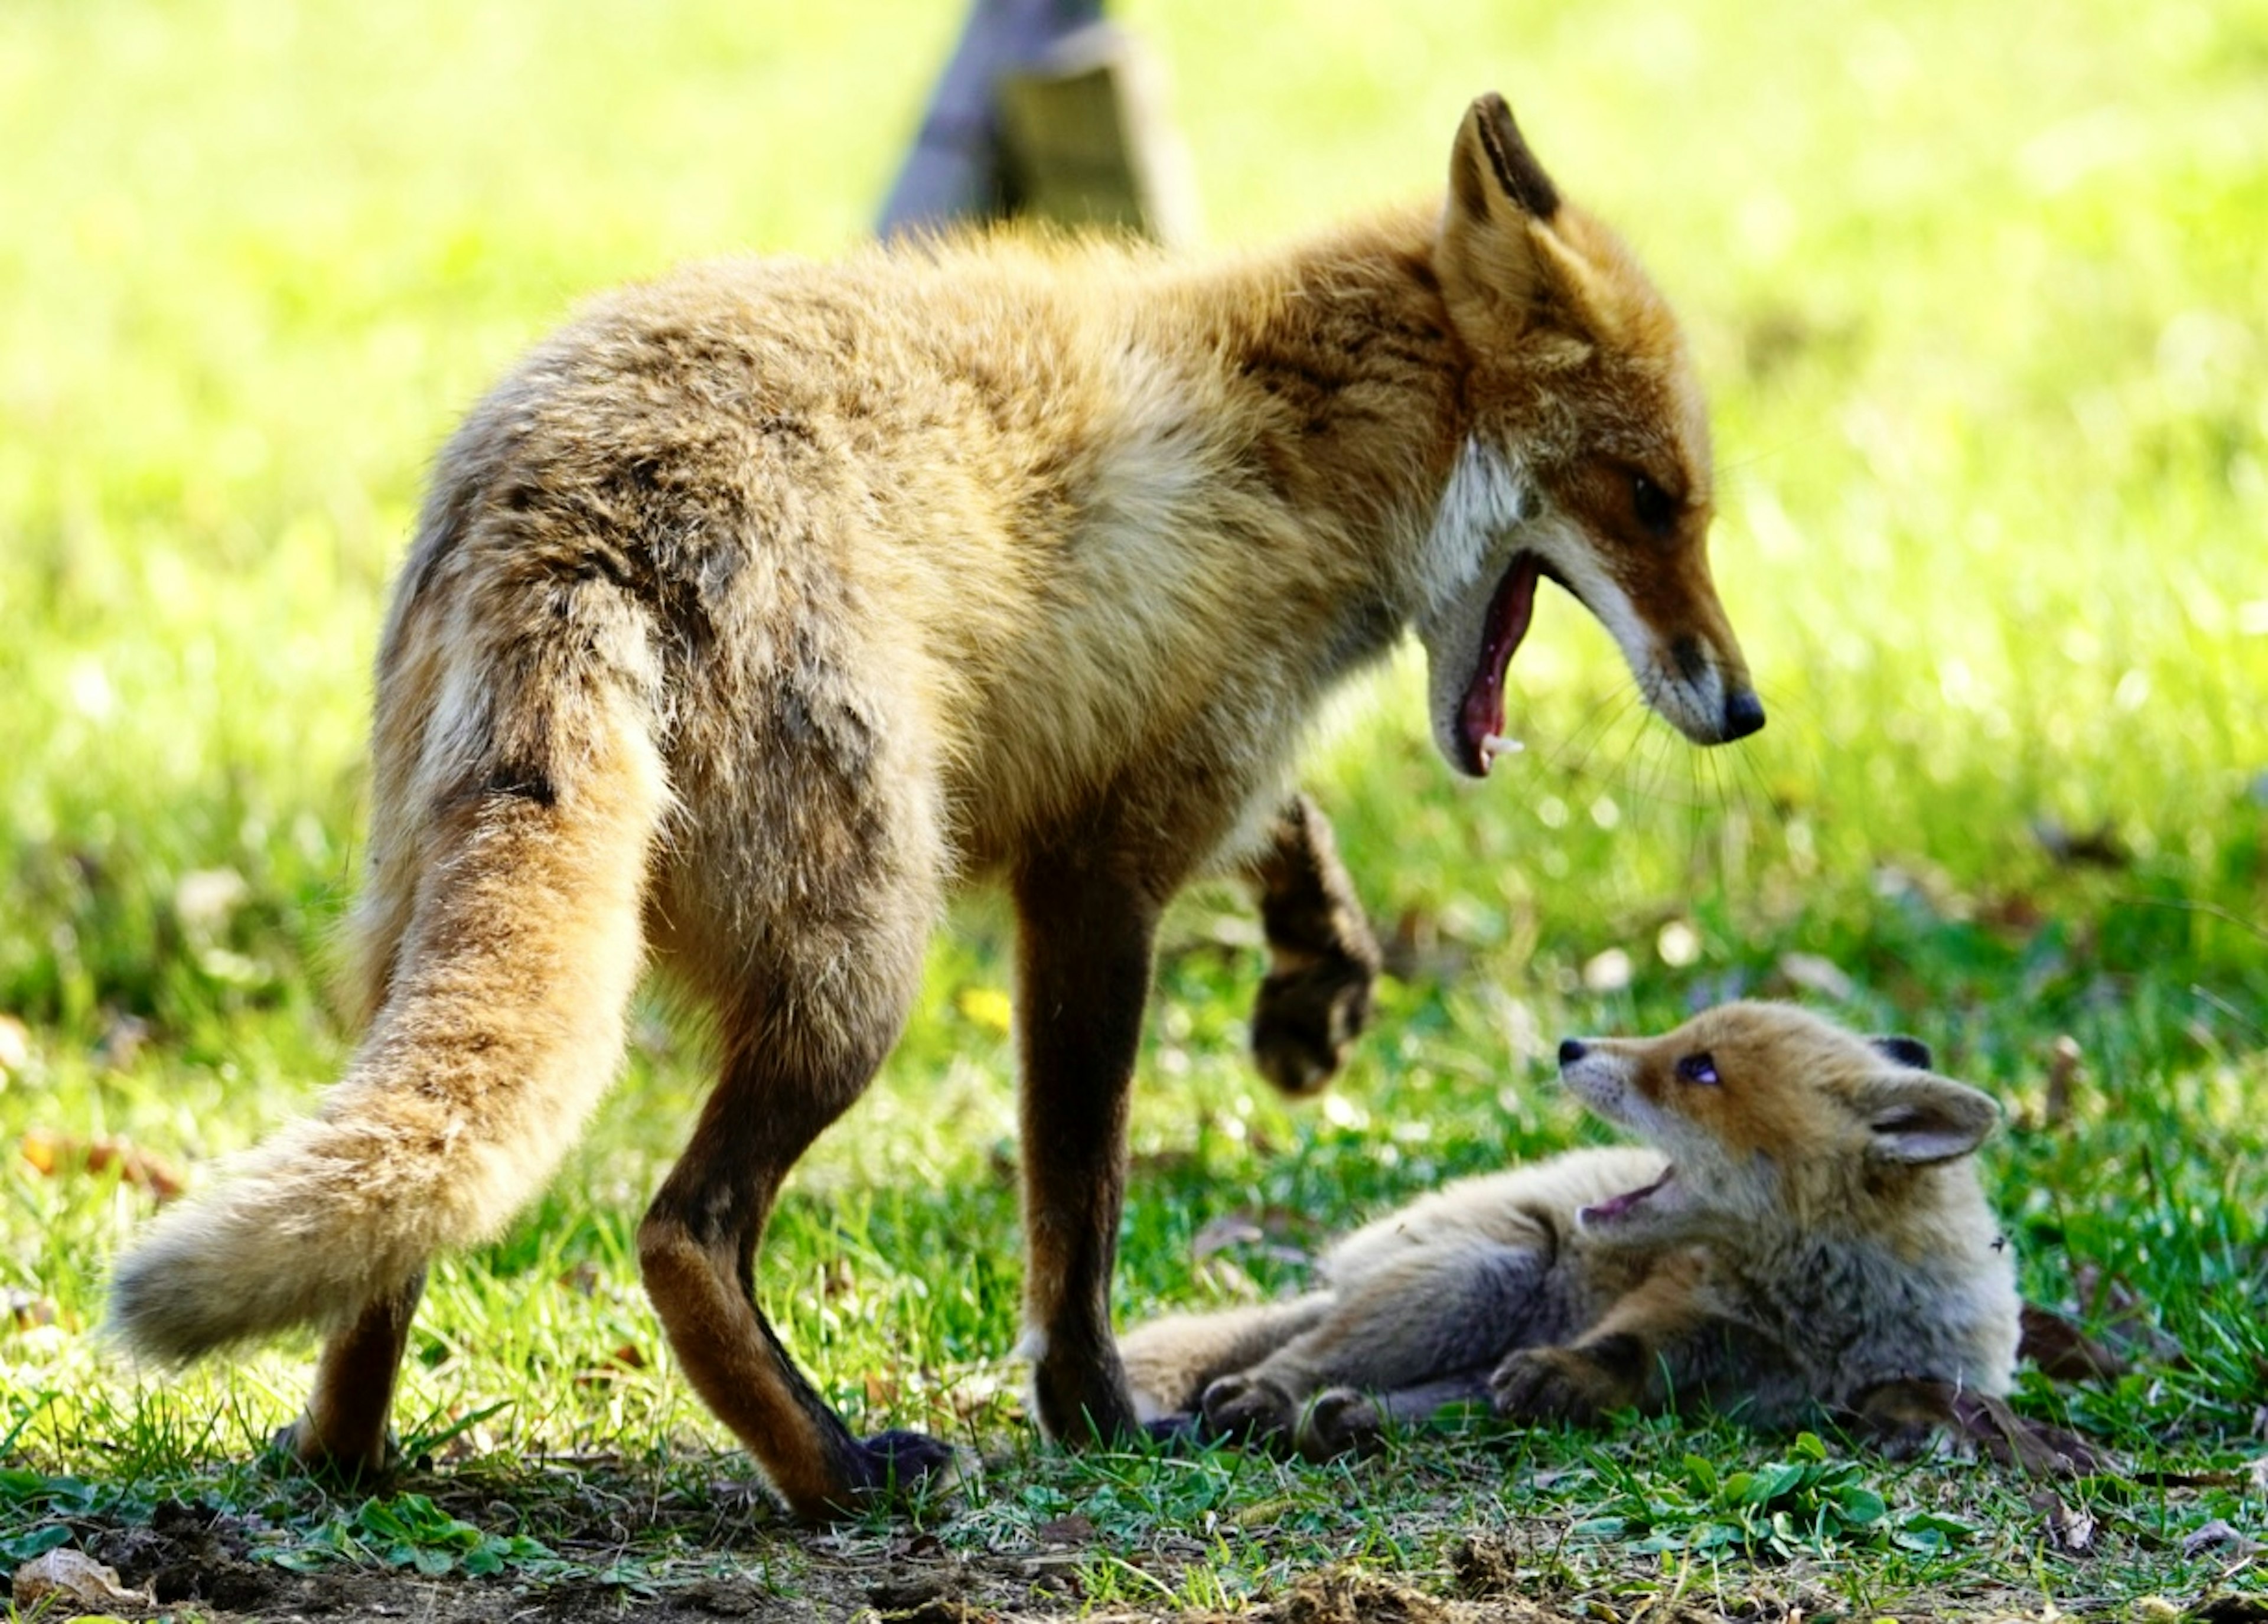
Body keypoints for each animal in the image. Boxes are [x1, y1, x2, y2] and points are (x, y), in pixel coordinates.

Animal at [110, 95, 1751, 1524]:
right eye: (1656, 501)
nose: (1742, 710)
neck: (1293, 444)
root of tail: (573, 512)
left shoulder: (1154, 761)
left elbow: (1285, 833)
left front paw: (1315, 982)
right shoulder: (1092, 880)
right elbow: (1078, 1211)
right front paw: (1096, 1419)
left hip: (419, 938)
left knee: (402, 1225)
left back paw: (348, 1455)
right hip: (862, 967)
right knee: (681, 1227)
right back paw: (835, 1471)